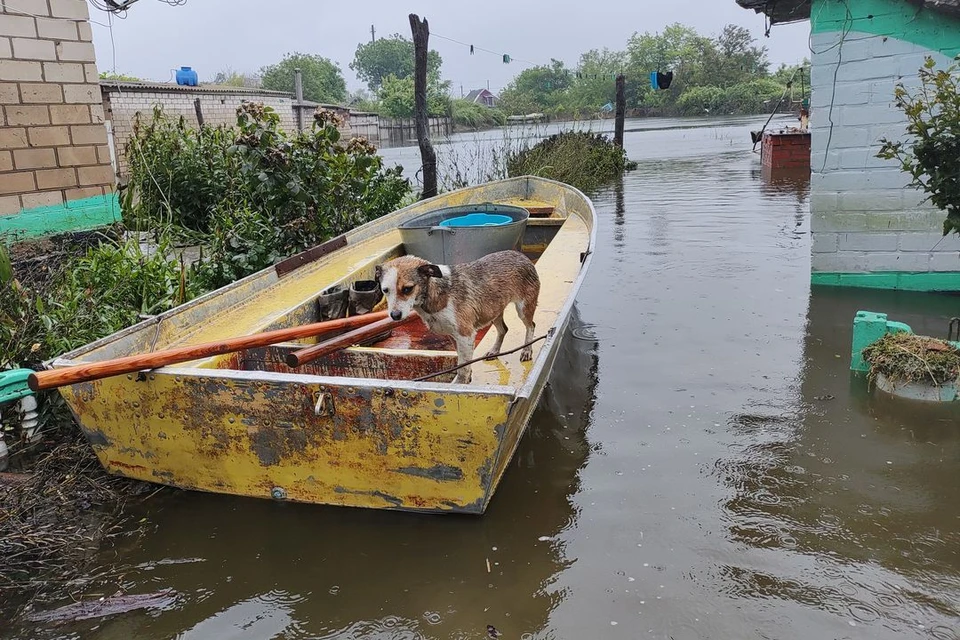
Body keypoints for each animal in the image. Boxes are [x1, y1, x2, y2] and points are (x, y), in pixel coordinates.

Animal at [376, 250, 540, 382]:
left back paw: (527, 350)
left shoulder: (465, 334)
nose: (395, 315)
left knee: (531, 325)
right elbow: (462, 362)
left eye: (407, 289)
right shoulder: (453, 336)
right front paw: (467, 378)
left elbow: (462, 367)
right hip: (493, 311)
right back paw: (495, 350)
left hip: (523, 308)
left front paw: (460, 386)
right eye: (385, 290)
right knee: (503, 329)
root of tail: (521, 255)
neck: (433, 294)